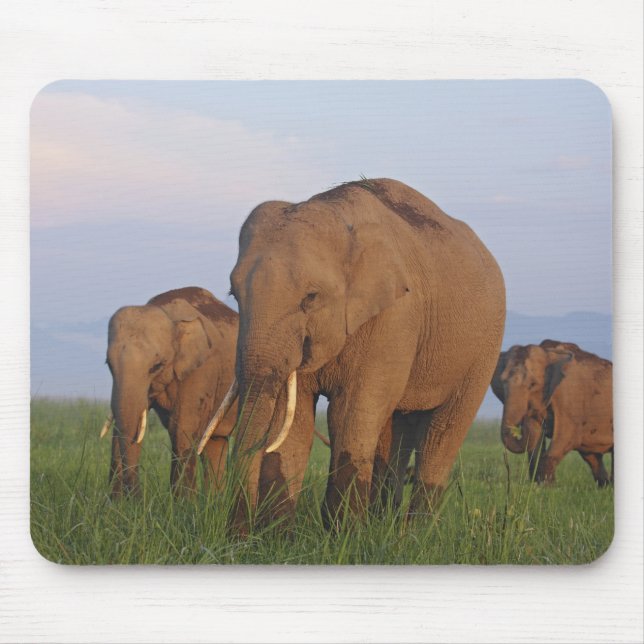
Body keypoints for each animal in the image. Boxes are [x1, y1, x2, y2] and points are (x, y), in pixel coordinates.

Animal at [103, 286, 238, 497]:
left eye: (156, 366)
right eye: (108, 364)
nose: (136, 498)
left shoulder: (202, 369)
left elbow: (181, 428)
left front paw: (183, 503)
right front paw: (115, 504)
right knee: (215, 442)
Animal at [199, 178, 505, 529]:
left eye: (311, 297)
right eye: (234, 295)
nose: (237, 534)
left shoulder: (395, 316)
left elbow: (349, 414)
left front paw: (341, 534)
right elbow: (294, 421)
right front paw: (279, 535)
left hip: (484, 347)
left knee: (442, 433)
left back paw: (413, 533)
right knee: (397, 429)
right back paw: (383, 525)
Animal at [491, 339, 613, 485]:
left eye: (533, 384)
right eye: (502, 382)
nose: (526, 417)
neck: (548, 353)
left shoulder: (569, 400)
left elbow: (566, 437)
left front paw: (546, 486)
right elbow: (535, 444)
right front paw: (539, 485)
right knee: (591, 456)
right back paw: (605, 485)